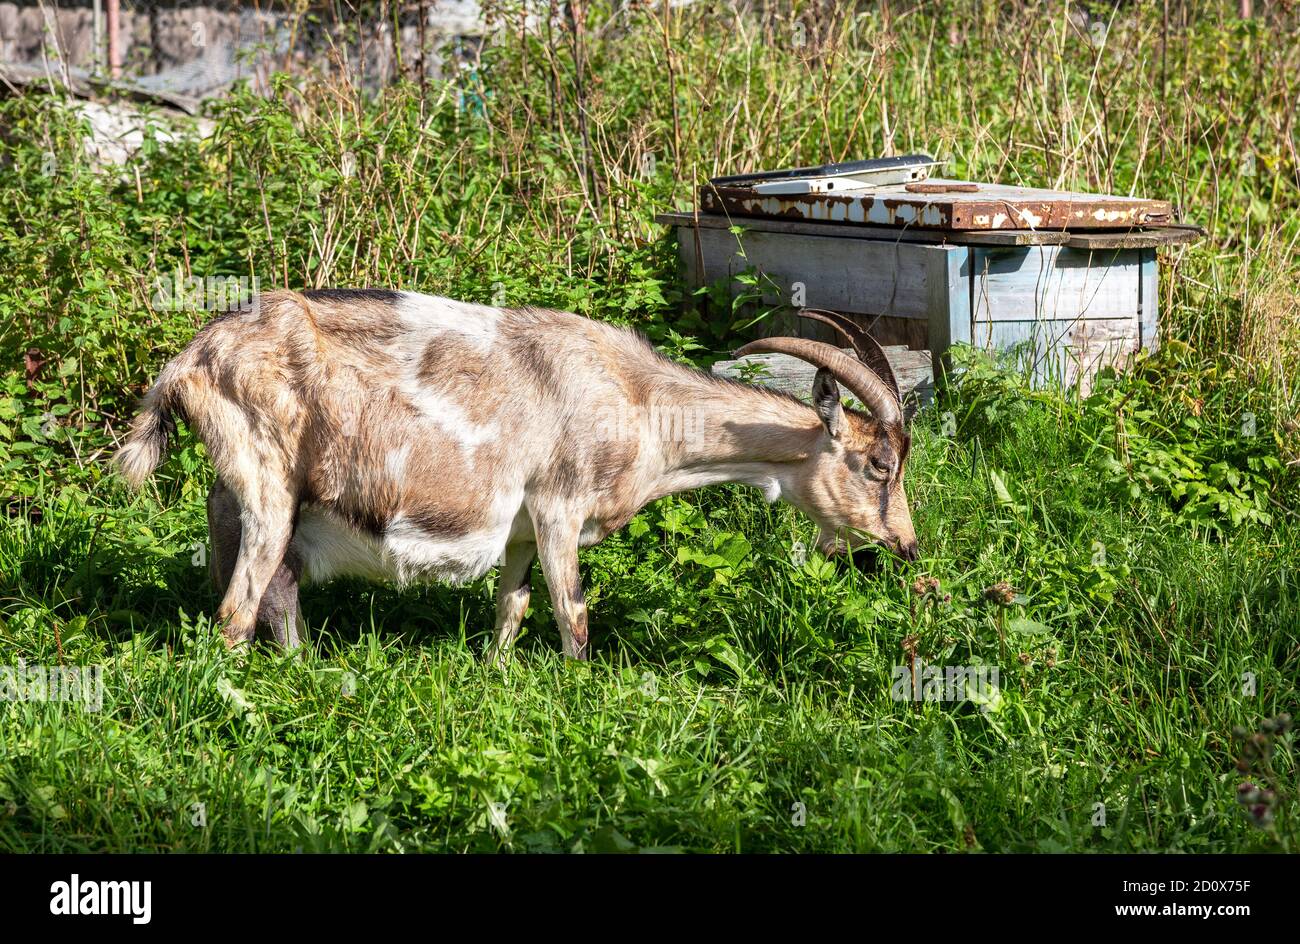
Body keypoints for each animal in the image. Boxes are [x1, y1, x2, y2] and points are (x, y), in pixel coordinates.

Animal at [116, 290, 918, 660]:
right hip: (267, 484)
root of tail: (188, 362)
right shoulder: (560, 506)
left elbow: (513, 608)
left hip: (250, 499)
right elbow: (573, 613)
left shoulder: (522, 534)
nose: (907, 546)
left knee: (273, 592)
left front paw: (499, 676)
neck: (639, 399)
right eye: (880, 465)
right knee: (236, 609)